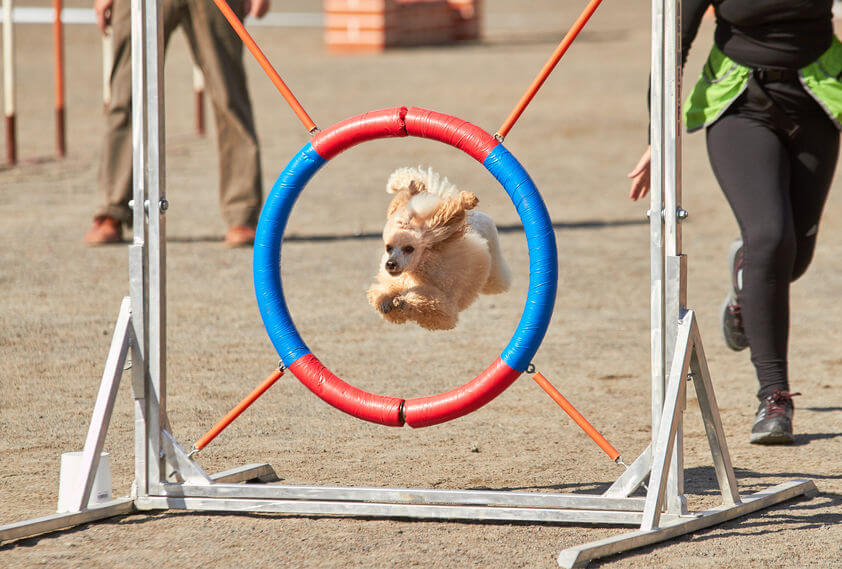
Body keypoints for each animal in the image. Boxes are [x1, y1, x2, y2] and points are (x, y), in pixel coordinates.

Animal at [364, 165, 508, 328]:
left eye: (409, 248)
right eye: (388, 247)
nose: (390, 264)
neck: (421, 267)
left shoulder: (445, 308)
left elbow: (431, 306)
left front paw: (405, 301)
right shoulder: (396, 281)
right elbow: (383, 293)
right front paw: (385, 301)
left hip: (495, 272)